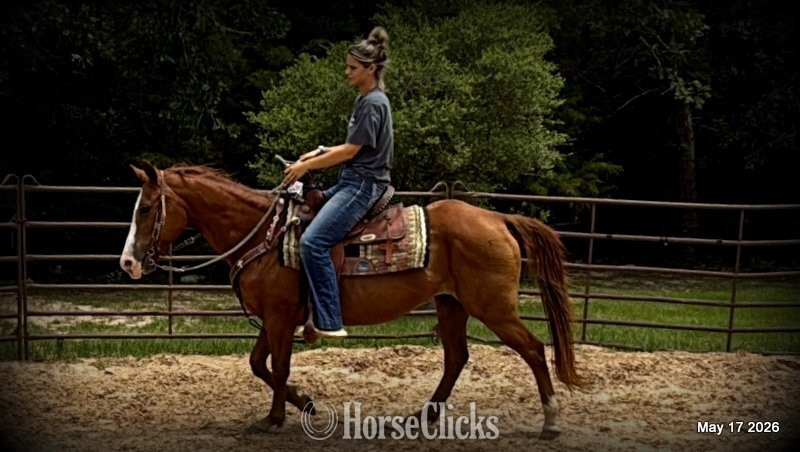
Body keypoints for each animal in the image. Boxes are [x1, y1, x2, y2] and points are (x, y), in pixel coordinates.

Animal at [119, 161, 581, 439]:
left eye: (146, 209)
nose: (127, 262)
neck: (265, 235)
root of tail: (498, 218)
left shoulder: (280, 316)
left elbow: (278, 367)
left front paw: (274, 419)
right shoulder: (273, 317)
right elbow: (258, 364)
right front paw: (304, 402)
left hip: (494, 308)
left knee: (533, 349)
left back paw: (551, 420)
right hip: (452, 305)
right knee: (456, 358)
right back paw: (421, 418)